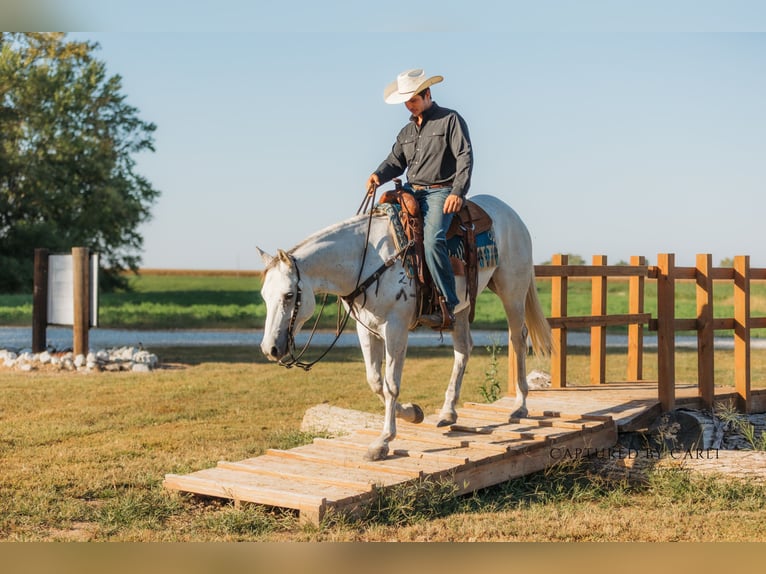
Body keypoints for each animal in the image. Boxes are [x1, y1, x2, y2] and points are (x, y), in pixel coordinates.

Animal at [257, 194, 552, 461]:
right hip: (460, 307)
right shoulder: (366, 329)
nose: (270, 349)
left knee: (518, 339)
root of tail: (510, 214)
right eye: (264, 296)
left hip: (512, 291)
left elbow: (391, 384)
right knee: (463, 349)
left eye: (288, 295)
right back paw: (448, 412)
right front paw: (413, 412)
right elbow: (375, 382)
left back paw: (520, 406)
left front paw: (383, 442)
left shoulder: (395, 328)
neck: (370, 259)